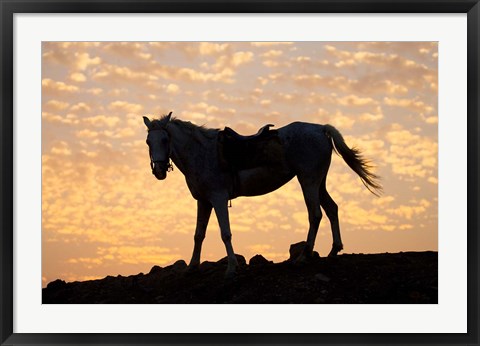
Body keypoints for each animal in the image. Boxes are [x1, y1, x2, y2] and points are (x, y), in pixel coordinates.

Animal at [143, 113, 382, 278]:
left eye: (165, 140)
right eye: (148, 142)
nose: (159, 171)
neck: (201, 152)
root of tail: (321, 129)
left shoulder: (218, 198)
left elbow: (225, 233)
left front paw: (231, 269)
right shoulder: (203, 201)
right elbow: (198, 235)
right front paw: (192, 267)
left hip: (308, 181)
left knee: (315, 215)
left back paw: (303, 257)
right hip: (319, 182)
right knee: (332, 209)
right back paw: (334, 251)